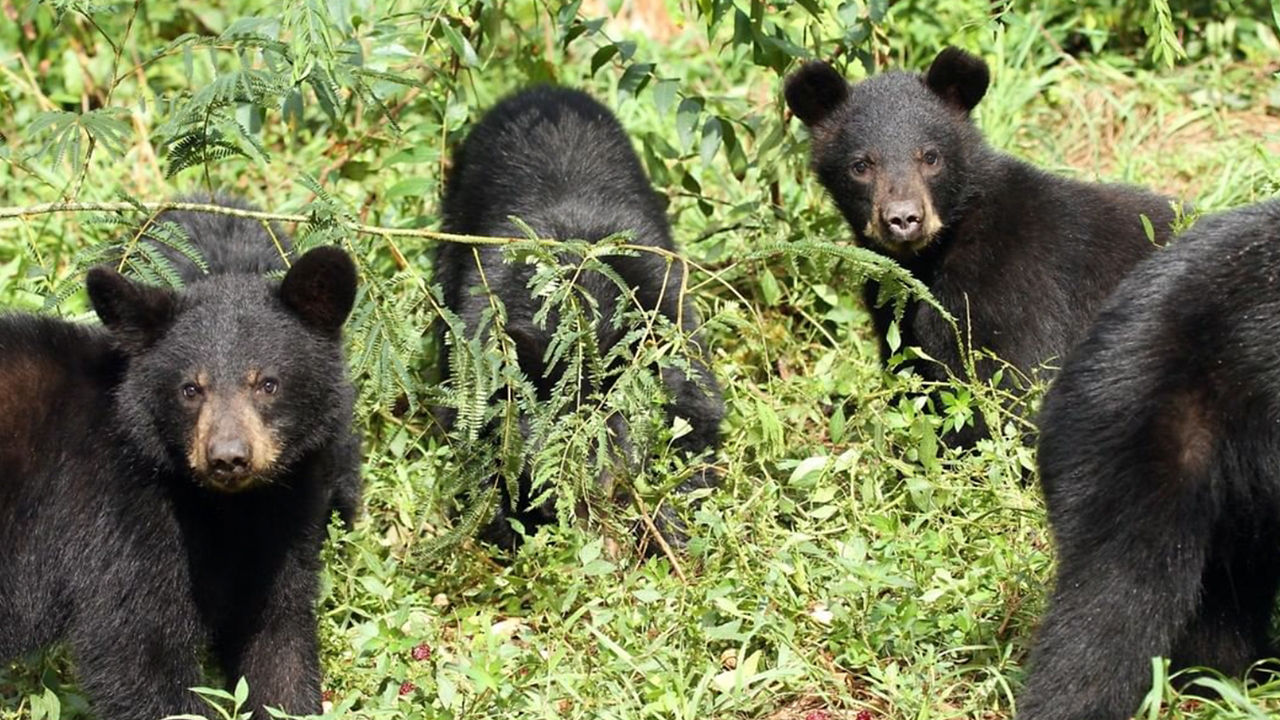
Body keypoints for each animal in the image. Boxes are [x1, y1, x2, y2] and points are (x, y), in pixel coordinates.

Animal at [0, 203, 360, 717]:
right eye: (190, 389)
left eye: (267, 383)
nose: (228, 458)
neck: (221, 504)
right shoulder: (116, 518)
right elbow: (139, 650)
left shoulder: (280, 519)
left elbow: (276, 630)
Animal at [778, 46, 1177, 443]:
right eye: (861, 165)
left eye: (931, 156)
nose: (904, 218)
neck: (934, 254)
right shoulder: (894, 303)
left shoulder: (1014, 290)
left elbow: (1013, 387)